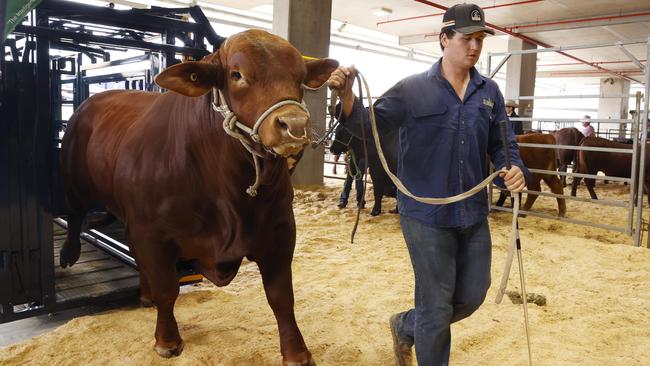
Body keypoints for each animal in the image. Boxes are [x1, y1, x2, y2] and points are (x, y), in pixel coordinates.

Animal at [59, 30, 340, 364]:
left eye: (299, 78)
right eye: (237, 75)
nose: (294, 125)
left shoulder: (280, 232)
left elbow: (281, 297)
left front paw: (297, 352)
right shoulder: (152, 234)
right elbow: (168, 290)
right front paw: (167, 340)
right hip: (75, 179)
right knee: (75, 213)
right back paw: (69, 255)